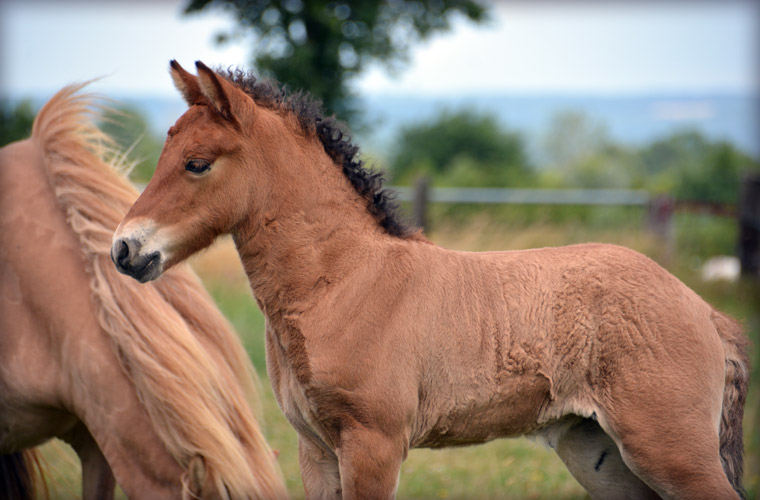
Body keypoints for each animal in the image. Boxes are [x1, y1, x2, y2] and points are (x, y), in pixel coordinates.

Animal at [113, 62, 748, 500]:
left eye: (197, 163)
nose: (124, 249)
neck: (341, 282)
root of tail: (704, 310)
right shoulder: (315, 450)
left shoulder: (374, 444)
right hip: (599, 452)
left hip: (670, 449)